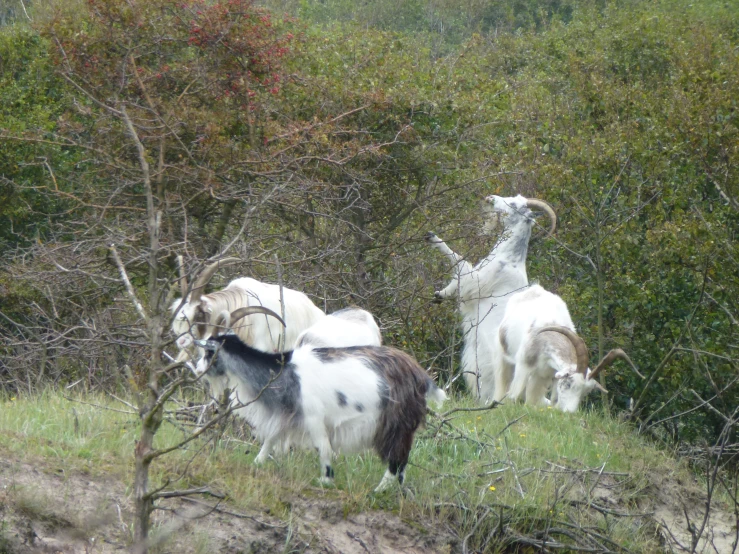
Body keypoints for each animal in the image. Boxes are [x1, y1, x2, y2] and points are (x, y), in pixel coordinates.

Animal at [197, 306, 448, 492]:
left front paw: (326, 480)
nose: (197, 369)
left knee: (398, 459)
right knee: (402, 462)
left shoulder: (314, 417)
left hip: (396, 421)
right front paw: (257, 463)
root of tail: (420, 376)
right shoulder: (288, 414)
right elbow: (270, 439)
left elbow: (324, 449)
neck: (287, 372)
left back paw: (379, 491)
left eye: (208, 352)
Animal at [424, 194, 556, 402]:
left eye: (514, 204)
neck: (508, 259)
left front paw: (433, 237)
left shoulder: (476, 282)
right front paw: (439, 295)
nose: (490, 198)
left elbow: (460, 262)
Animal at [502, 284, 640, 410]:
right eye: (568, 384)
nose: (569, 413)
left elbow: (553, 400)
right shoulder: (523, 366)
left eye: (585, 392)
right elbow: (513, 395)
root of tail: (535, 288)